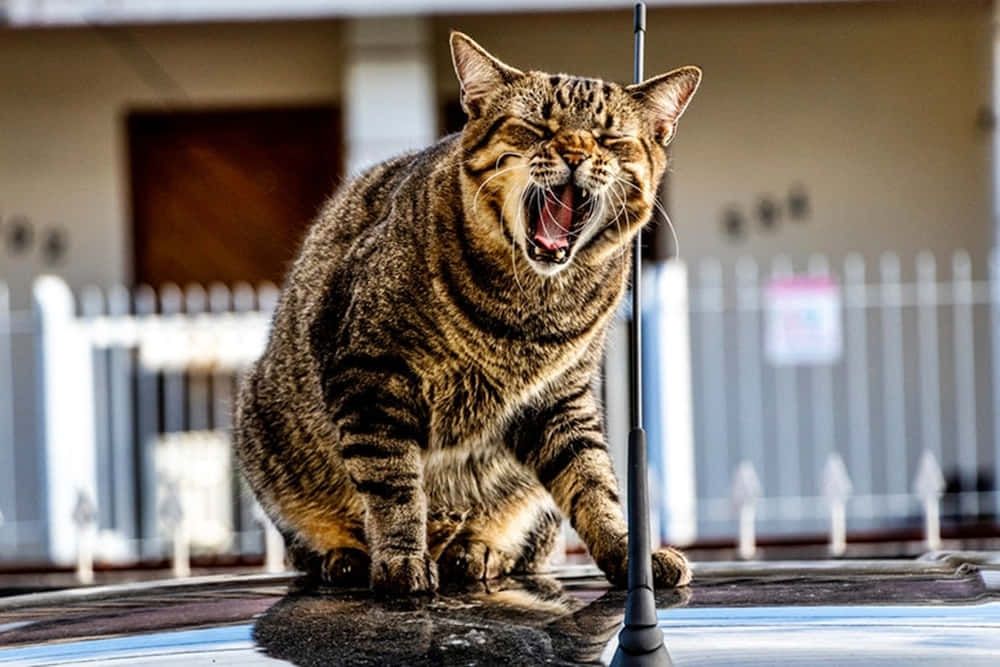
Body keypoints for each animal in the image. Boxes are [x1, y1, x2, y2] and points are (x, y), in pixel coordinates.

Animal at [234, 31, 704, 596]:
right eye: (538, 127)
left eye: (608, 137)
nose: (574, 151)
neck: (530, 306)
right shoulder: (371, 374)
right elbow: (393, 483)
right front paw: (400, 558)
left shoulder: (562, 398)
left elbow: (594, 482)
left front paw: (628, 555)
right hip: (262, 427)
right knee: (315, 541)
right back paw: (348, 557)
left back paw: (476, 550)